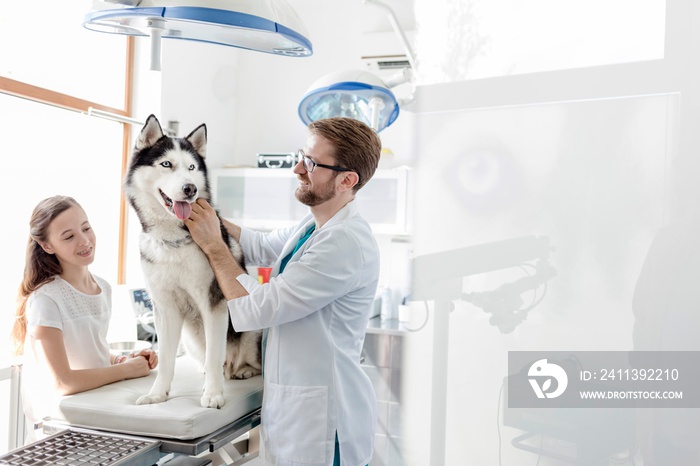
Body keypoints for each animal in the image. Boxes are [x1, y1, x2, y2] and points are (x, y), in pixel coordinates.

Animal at [124, 115, 262, 408]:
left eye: (191, 167)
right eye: (166, 164)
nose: (190, 188)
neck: (172, 239)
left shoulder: (214, 303)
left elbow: (214, 355)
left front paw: (213, 395)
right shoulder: (164, 309)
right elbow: (166, 360)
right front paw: (157, 394)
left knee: (243, 362)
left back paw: (243, 370)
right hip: (189, 339)